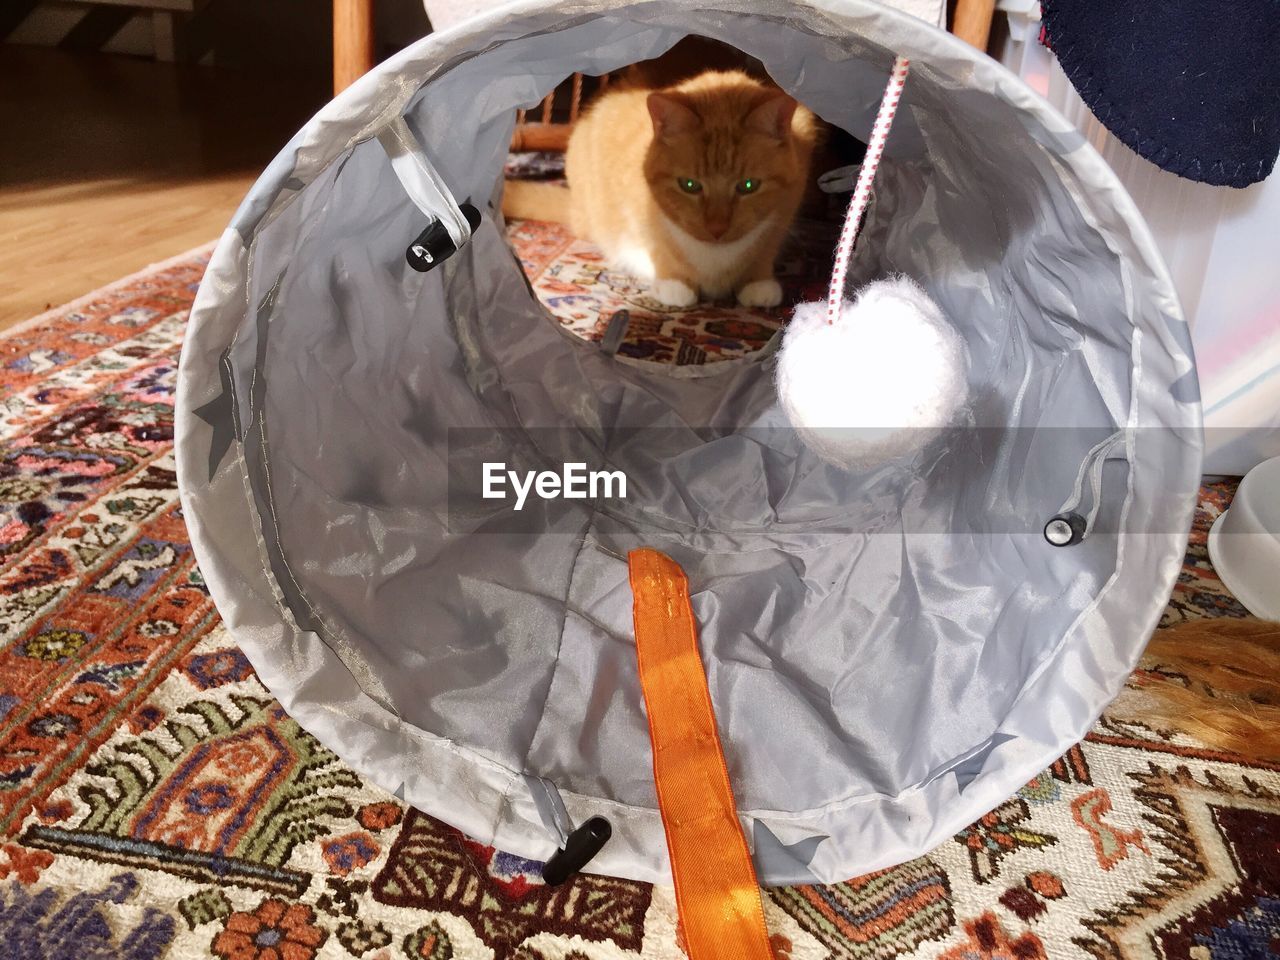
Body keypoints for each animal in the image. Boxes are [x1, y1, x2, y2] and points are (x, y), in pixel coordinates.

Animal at [504, 69, 814, 305]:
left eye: (748, 185)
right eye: (689, 185)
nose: (716, 229)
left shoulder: (786, 208)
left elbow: (765, 248)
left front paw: (758, 283)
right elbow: (658, 245)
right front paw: (673, 284)